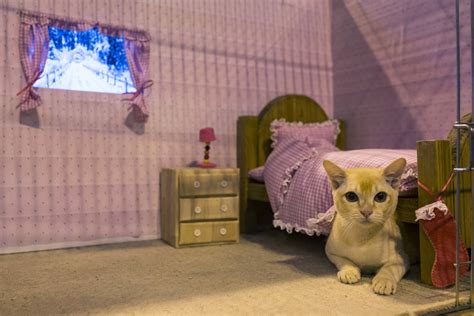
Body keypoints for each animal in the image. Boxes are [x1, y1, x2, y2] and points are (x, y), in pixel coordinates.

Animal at [324, 159, 410, 296]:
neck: (363, 237)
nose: (366, 211)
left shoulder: (402, 259)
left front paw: (384, 281)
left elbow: (389, 268)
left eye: (380, 197)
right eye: (351, 196)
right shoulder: (331, 252)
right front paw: (349, 271)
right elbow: (344, 261)